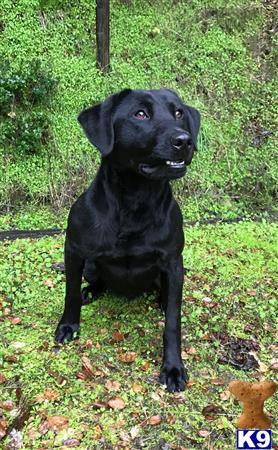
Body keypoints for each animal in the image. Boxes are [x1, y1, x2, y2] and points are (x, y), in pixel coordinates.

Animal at [56, 88, 200, 390]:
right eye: (140, 114)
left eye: (178, 112)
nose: (185, 140)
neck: (136, 200)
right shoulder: (73, 250)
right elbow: (70, 292)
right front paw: (68, 326)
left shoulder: (173, 261)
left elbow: (173, 322)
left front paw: (173, 368)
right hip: (91, 265)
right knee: (94, 280)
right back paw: (92, 290)